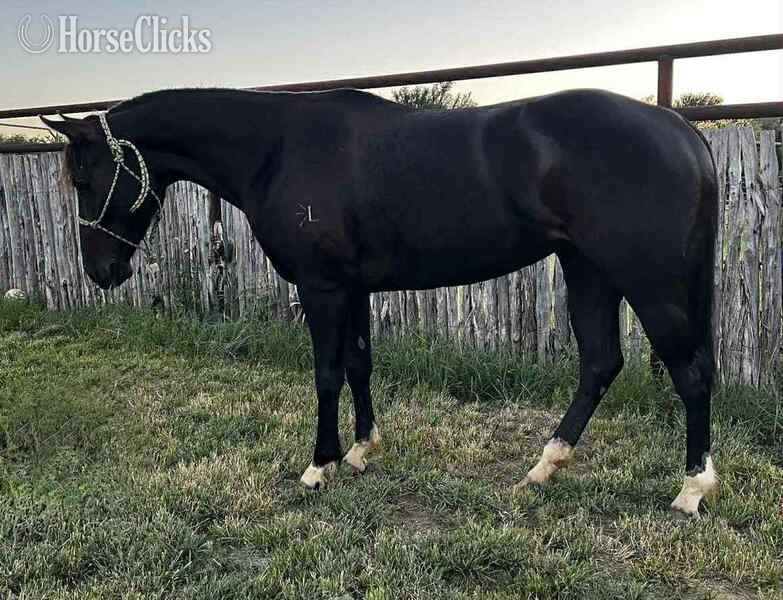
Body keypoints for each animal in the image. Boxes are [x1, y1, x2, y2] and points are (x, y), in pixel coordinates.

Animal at [41, 86, 719, 515]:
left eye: (85, 177)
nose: (102, 272)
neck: (276, 148)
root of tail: (680, 129)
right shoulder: (355, 288)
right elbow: (360, 365)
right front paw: (363, 452)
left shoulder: (321, 288)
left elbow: (325, 372)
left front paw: (319, 465)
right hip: (589, 271)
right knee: (601, 363)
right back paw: (543, 469)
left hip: (647, 281)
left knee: (689, 372)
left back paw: (692, 488)